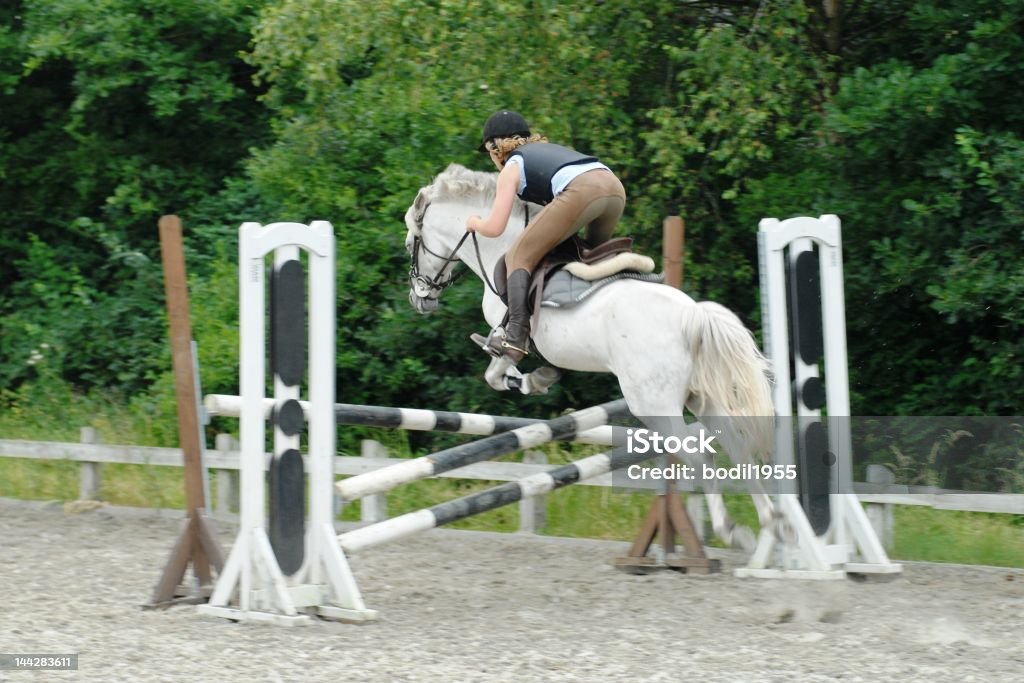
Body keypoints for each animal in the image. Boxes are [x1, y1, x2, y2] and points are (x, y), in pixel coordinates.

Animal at [403, 162, 778, 548]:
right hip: (701, 397)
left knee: (700, 454)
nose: (419, 299)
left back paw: (733, 531)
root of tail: (693, 316)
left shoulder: (509, 332)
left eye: (411, 244)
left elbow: (496, 369)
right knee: (737, 445)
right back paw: (770, 524)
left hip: (653, 404)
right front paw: (542, 378)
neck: (500, 245)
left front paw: (526, 381)